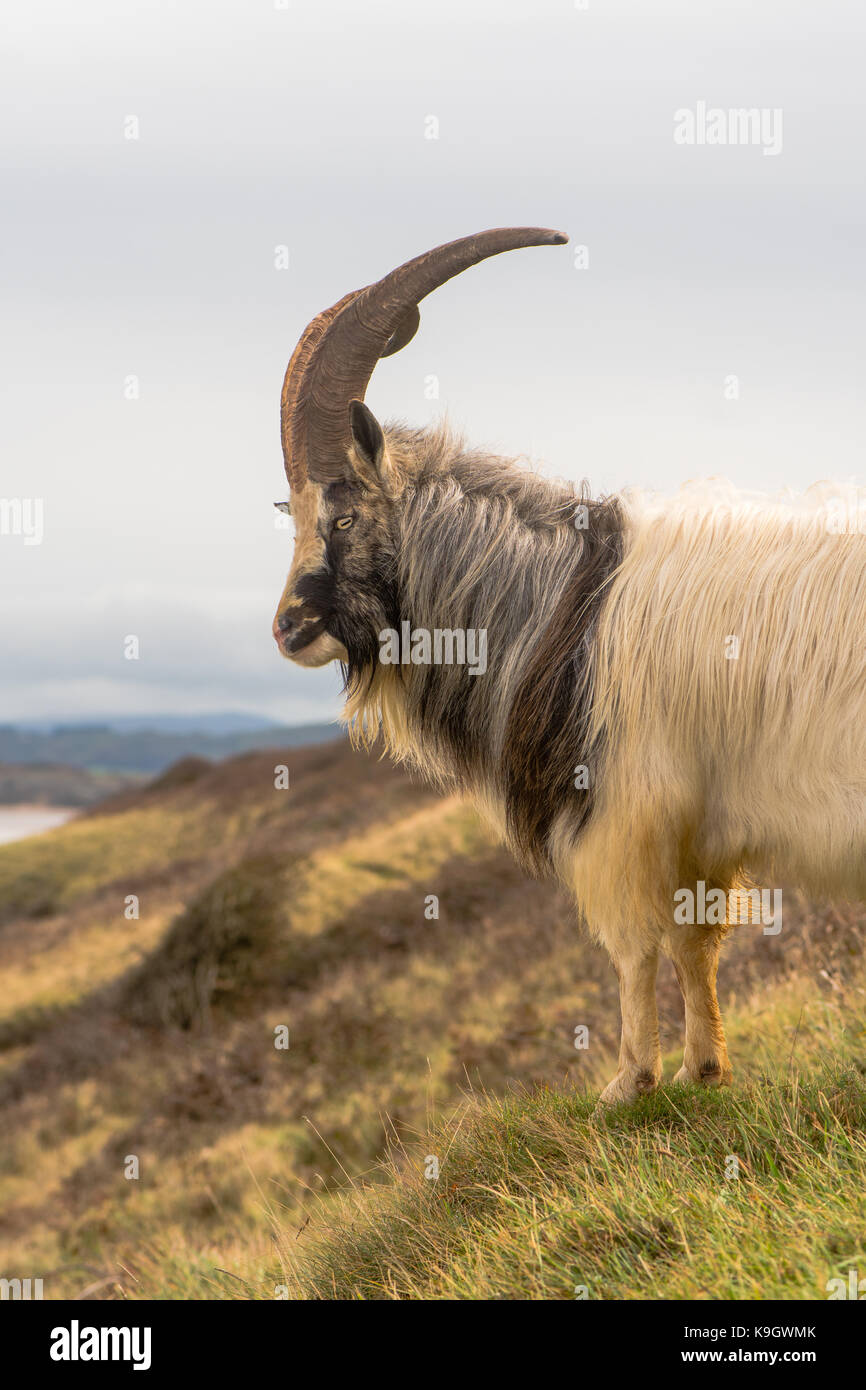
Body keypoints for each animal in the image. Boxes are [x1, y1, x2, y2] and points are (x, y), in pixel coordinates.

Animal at [272, 227, 866, 1104]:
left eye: (342, 516)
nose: (289, 628)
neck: (562, 596)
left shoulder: (624, 807)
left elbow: (635, 943)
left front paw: (627, 1084)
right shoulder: (697, 827)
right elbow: (695, 942)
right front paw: (703, 1069)